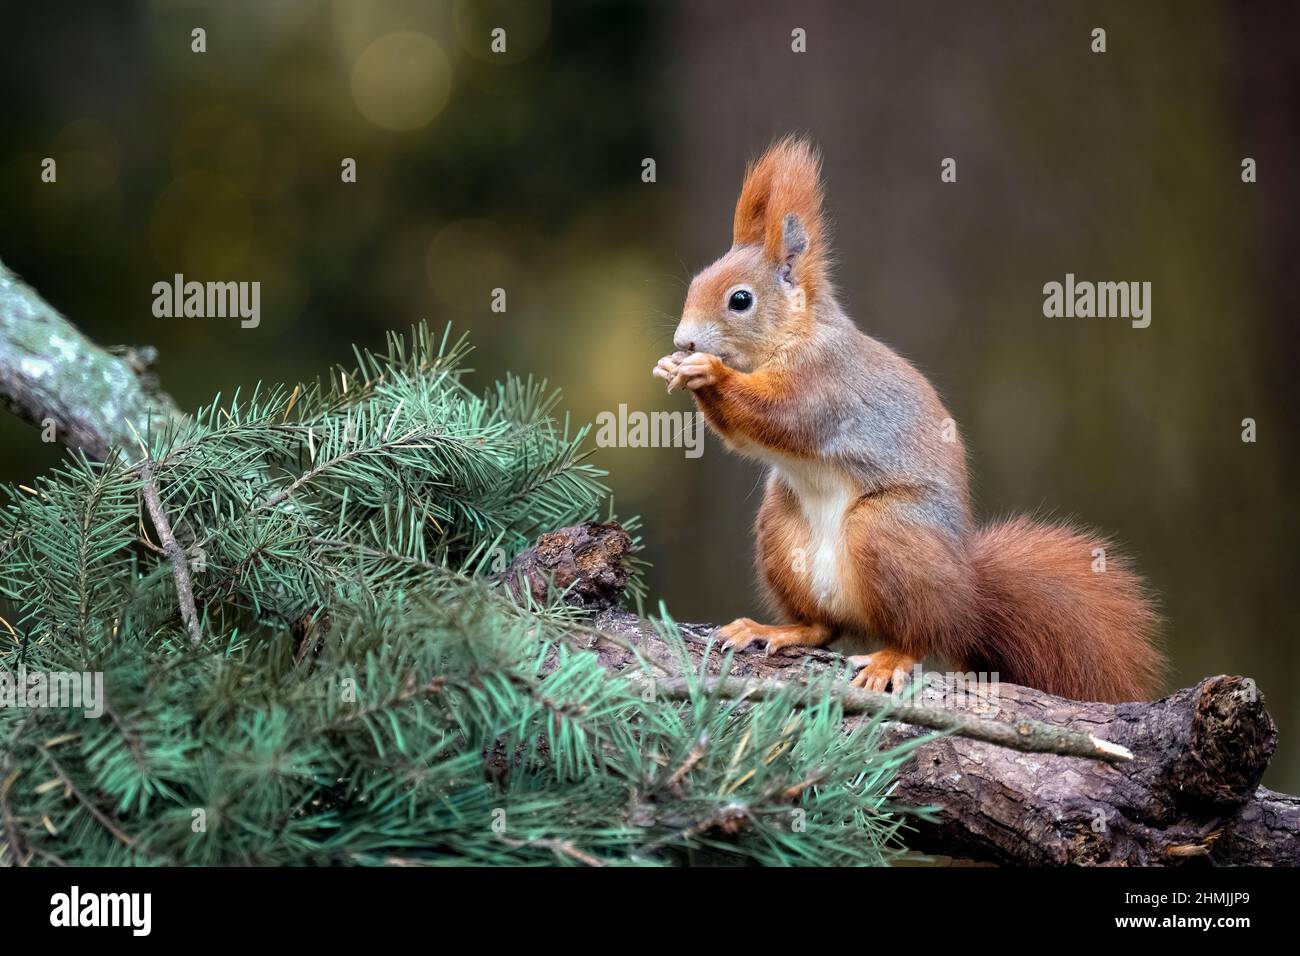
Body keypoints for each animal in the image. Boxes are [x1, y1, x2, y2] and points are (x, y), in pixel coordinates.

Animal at [655, 134, 1164, 702]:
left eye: (740, 300)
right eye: (695, 282)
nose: (683, 342)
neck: (795, 336)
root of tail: (968, 599)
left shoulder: (825, 385)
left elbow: (778, 416)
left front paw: (708, 372)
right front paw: (674, 368)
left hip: (887, 531)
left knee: (920, 635)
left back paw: (889, 659)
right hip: (780, 526)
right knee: (824, 627)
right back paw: (776, 630)